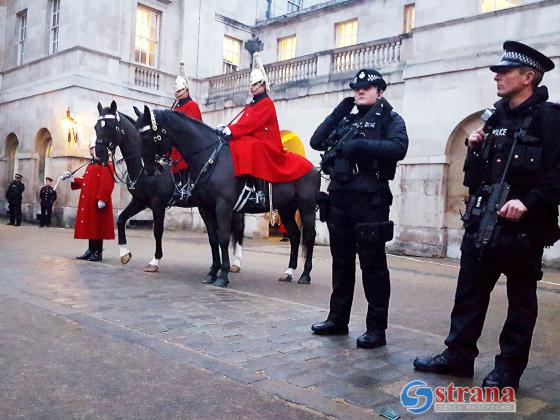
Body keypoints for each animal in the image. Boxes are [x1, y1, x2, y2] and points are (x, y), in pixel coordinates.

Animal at [94, 101, 245, 272]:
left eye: (110, 126)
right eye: (96, 127)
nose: (98, 155)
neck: (142, 167)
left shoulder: (158, 203)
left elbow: (157, 231)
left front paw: (155, 261)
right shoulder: (139, 201)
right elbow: (120, 220)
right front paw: (125, 253)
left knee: (238, 229)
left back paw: (236, 263)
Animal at [133, 106, 322, 288]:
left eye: (147, 136)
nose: (149, 170)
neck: (211, 159)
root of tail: (314, 168)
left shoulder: (223, 206)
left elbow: (223, 238)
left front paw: (223, 276)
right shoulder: (205, 207)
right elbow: (213, 239)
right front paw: (212, 273)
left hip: (306, 208)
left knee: (309, 236)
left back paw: (305, 275)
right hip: (286, 209)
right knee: (295, 236)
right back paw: (289, 272)